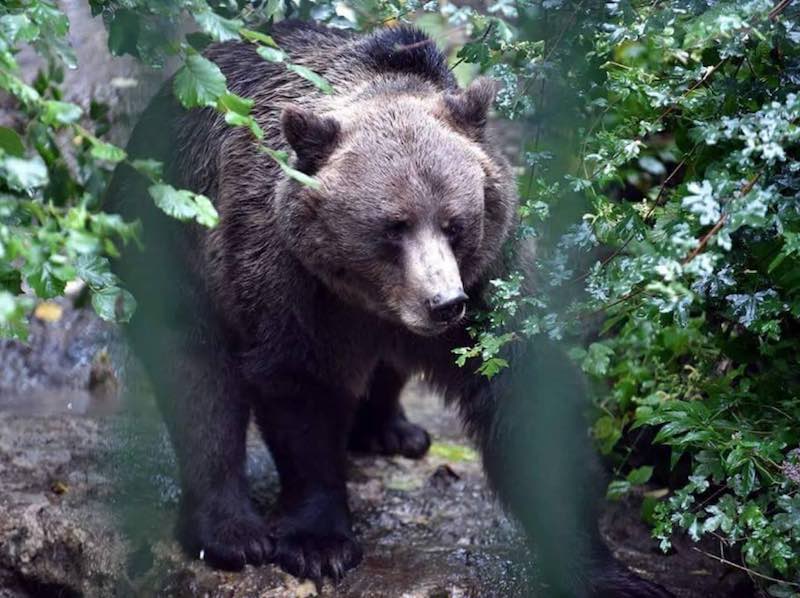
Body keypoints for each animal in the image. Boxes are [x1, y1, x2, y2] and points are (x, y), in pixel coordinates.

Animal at [106, 21, 668, 596]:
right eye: (393, 226)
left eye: (455, 223)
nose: (444, 303)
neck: (370, 298)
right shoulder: (286, 277)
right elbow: (299, 391)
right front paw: (318, 544)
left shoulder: (490, 278)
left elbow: (521, 395)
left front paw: (606, 570)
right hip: (169, 246)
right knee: (199, 383)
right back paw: (231, 533)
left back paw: (392, 430)